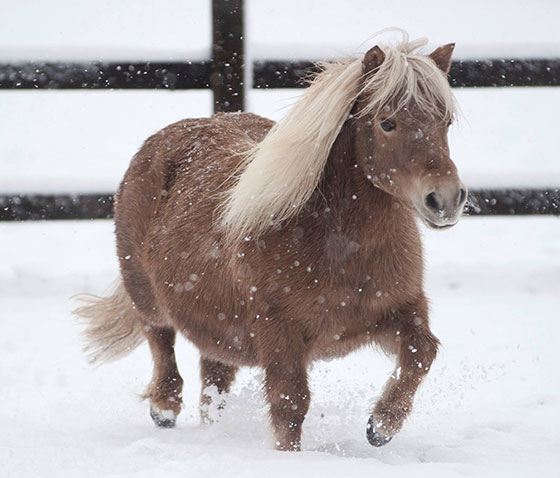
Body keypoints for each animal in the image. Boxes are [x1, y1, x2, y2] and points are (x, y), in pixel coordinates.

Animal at [75, 33, 468, 452]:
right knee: (160, 337)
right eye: (387, 122)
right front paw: (291, 455)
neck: (339, 245)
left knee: (214, 381)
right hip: (145, 292)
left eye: (445, 121)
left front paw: (381, 425)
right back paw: (164, 407)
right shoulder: (279, 334)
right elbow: (290, 404)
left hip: (219, 326)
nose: (445, 199)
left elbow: (422, 352)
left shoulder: (402, 309)